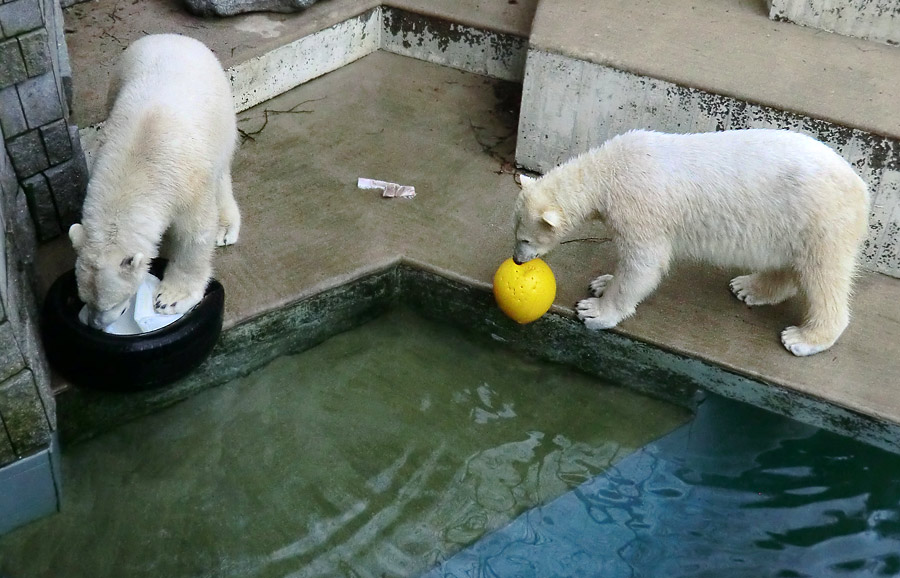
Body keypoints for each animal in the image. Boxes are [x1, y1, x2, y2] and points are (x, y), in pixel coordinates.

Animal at [68, 33, 239, 328]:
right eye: (84, 299)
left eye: (110, 304)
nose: (95, 325)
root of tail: (173, 37)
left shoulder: (186, 185)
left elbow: (194, 234)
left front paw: (169, 298)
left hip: (221, 113)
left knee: (221, 170)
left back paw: (226, 227)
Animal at [516, 129, 868, 356]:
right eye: (516, 230)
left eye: (524, 238)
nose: (518, 261)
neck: (607, 169)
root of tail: (861, 188)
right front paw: (602, 282)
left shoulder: (639, 206)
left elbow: (645, 263)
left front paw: (594, 310)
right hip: (789, 223)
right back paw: (748, 288)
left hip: (820, 219)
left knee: (824, 276)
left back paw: (804, 338)